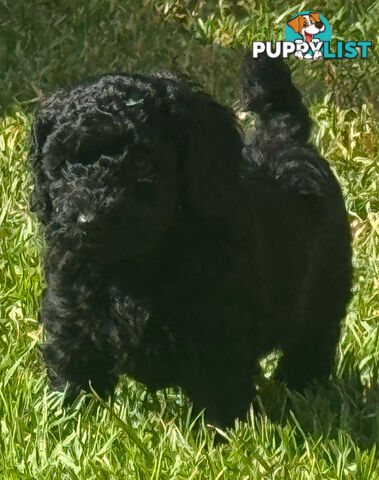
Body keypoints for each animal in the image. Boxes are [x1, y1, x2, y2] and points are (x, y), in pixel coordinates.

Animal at [30, 54, 354, 426]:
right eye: (62, 164)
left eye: (142, 163)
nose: (89, 222)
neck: (133, 264)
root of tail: (286, 139)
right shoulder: (72, 319)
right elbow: (72, 378)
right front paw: (60, 424)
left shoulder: (217, 332)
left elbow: (220, 395)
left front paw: (225, 436)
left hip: (325, 286)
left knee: (313, 340)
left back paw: (301, 387)